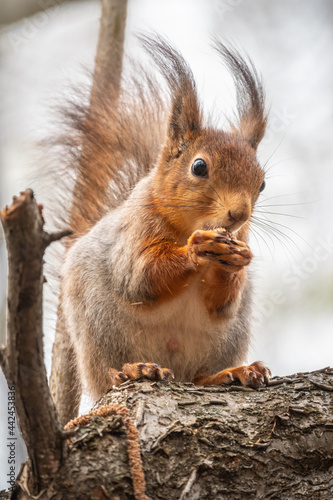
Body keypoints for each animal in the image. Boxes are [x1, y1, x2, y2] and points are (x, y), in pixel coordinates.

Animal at [60, 35, 270, 402]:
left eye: (262, 183)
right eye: (199, 167)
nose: (239, 214)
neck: (190, 226)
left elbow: (222, 304)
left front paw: (235, 260)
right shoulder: (134, 235)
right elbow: (142, 277)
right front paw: (196, 250)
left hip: (229, 337)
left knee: (200, 375)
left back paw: (233, 373)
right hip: (98, 332)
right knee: (105, 375)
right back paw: (133, 369)